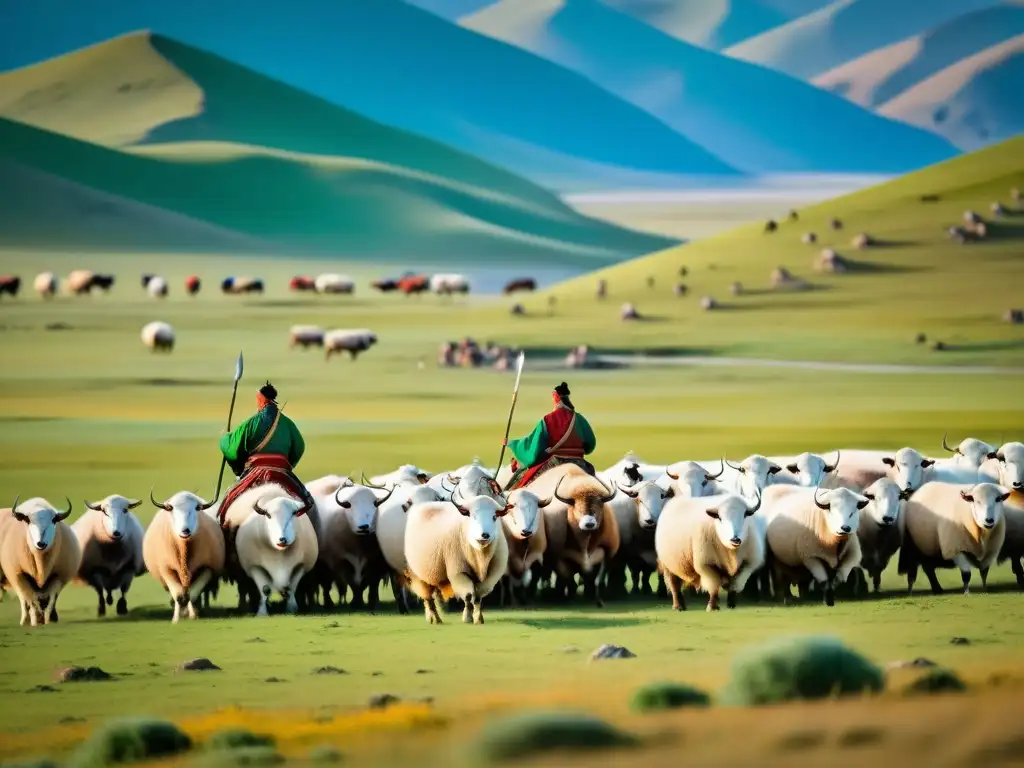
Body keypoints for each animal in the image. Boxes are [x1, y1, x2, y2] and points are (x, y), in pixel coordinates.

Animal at [0, 499, 80, 630]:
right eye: (28, 520)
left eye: (53, 520)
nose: (41, 543)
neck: (41, 564)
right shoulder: (19, 575)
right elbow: (31, 600)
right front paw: (35, 621)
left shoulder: (58, 576)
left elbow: (52, 600)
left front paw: (49, 620)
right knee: (23, 600)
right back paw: (25, 620)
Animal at [142, 493, 224, 626]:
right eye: (171, 508)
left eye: (197, 508)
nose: (185, 530)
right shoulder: (166, 569)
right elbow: (178, 596)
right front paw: (176, 619)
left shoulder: (207, 568)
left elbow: (192, 594)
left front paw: (192, 615)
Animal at [401, 489, 509, 626]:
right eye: (472, 516)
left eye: (494, 517)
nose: (484, 535)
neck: (480, 556)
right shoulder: (459, 572)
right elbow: (468, 596)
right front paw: (467, 617)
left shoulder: (490, 576)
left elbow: (478, 597)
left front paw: (478, 618)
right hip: (419, 575)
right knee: (428, 598)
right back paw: (435, 618)